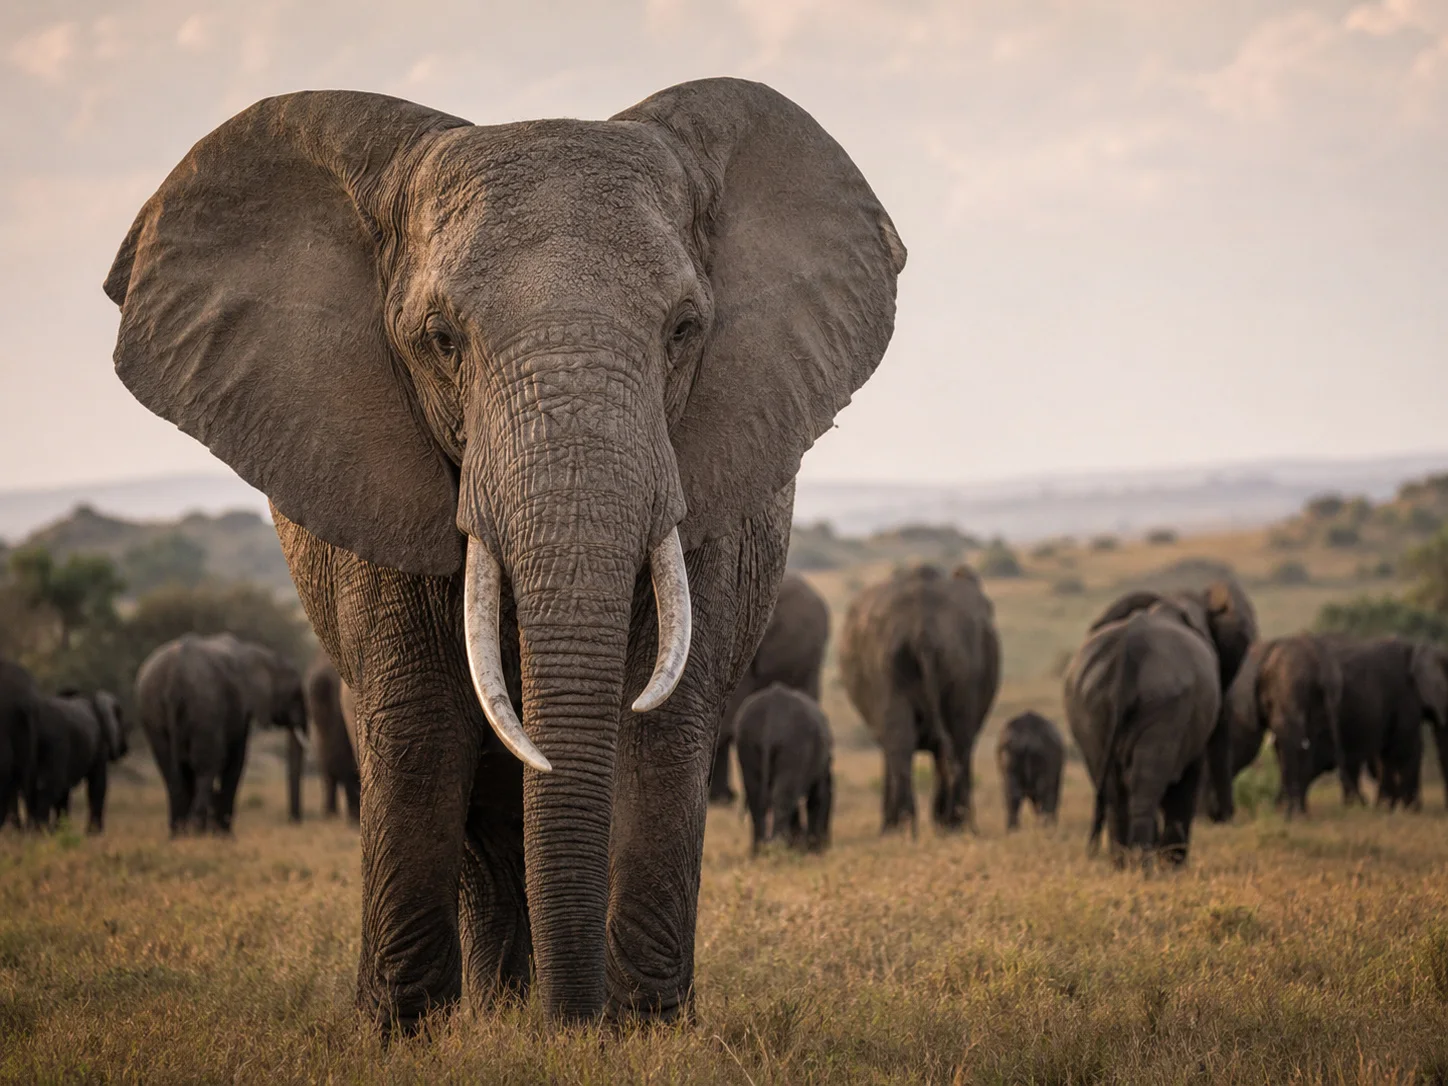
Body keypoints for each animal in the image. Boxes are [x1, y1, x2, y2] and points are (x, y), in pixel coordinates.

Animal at [26, 689, 127, 833]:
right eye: (122, 724)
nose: (125, 749)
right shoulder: (100, 745)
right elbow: (98, 785)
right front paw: (94, 833)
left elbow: (65, 794)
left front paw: (62, 830)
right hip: (55, 743)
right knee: (49, 788)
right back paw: (41, 832)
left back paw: (32, 832)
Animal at [135, 633, 307, 835]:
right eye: (295, 695)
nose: (294, 822)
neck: (263, 655)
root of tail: (174, 677)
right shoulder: (241, 706)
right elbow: (237, 760)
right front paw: (226, 835)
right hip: (205, 707)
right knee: (206, 767)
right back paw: (197, 830)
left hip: (151, 710)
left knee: (170, 770)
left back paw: (179, 833)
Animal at [734, 682, 833, 854]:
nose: (826, 845)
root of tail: (772, 714)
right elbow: (817, 799)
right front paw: (810, 849)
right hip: (793, 746)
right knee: (782, 798)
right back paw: (776, 848)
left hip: (747, 743)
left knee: (756, 797)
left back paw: (758, 850)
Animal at [838, 565, 1001, 834]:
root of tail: (924, 630)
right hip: (945, 665)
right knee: (952, 740)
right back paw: (938, 825)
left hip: (905, 665)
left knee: (915, 742)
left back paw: (914, 826)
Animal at [1065, 577, 1258, 868]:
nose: (1221, 816)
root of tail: (1127, 652)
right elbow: (1187, 778)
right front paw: (1173, 867)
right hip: (1163, 704)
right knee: (1144, 785)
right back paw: (1145, 866)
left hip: (1088, 705)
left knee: (1113, 792)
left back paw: (1123, 865)